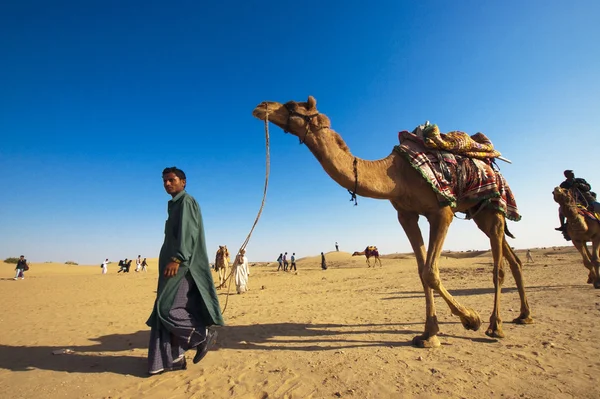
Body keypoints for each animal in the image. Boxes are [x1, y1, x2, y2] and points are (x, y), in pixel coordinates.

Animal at [251, 95, 532, 348]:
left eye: (290, 105)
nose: (261, 106)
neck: (396, 175)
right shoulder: (406, 215)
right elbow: (421, 272)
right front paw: (428, 335)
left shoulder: (441, 212)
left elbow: (430, 272)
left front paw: (471, 319)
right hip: (479, 212)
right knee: (512, 258)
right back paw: (523, 315)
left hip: (493, 206)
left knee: (499, 267)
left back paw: (495, 326)